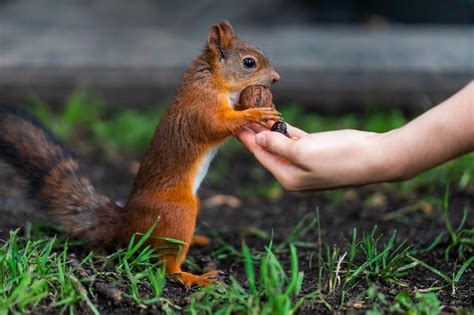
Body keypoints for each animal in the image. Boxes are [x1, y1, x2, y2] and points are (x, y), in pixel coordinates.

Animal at [0, 20, 280, 288]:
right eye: (249, 62)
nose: (276, 79)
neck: (211, 78)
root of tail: (128, 220)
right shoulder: (201, 108)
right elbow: (217, 125)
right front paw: (256, 113)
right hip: (178, 212)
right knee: (167, 266)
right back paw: (192, 277)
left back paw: (196, 240)